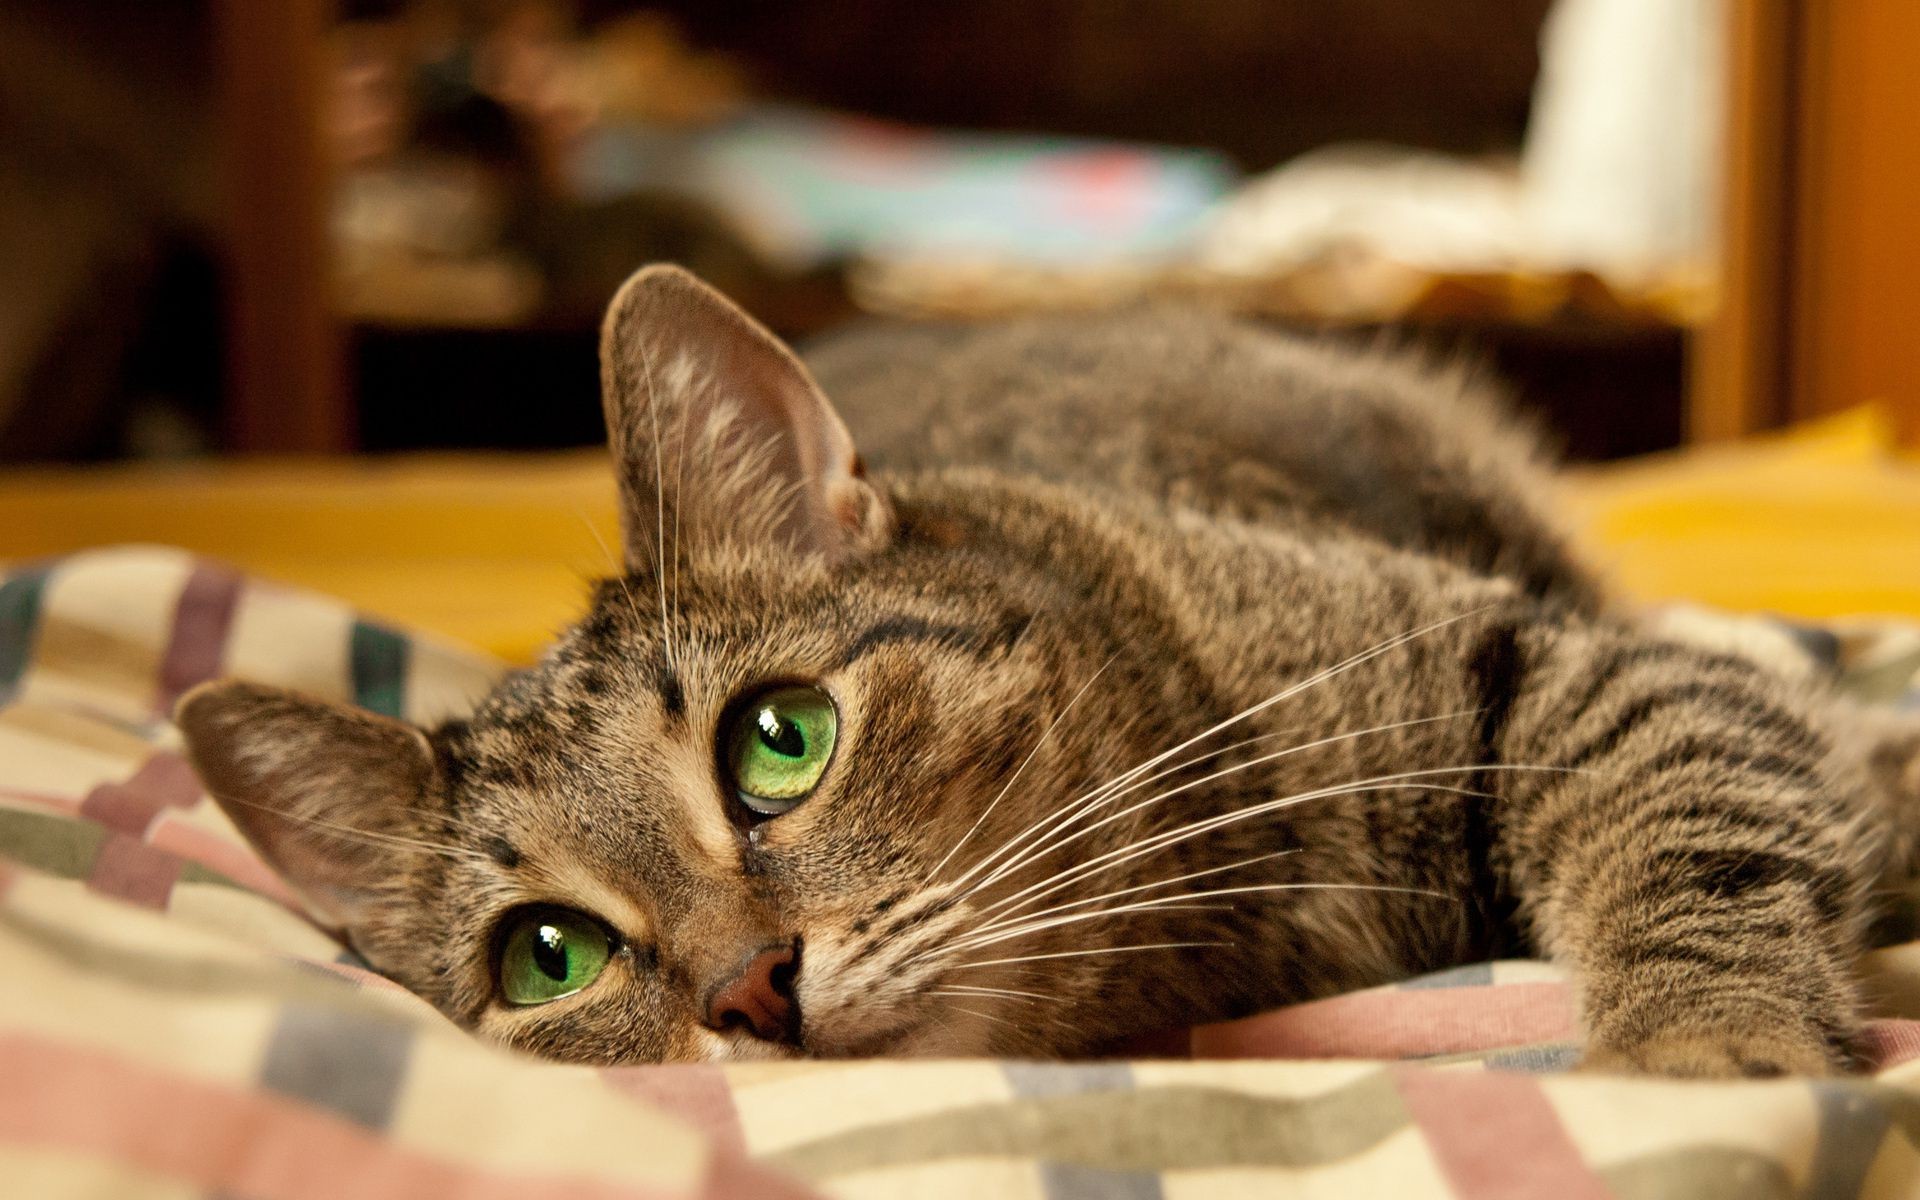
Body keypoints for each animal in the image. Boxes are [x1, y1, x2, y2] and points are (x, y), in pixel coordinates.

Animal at [176, 266, 1920, 1075]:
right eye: (550, 955)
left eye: (780, 741)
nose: (747, 989)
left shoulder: (1548, 668)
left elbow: (1694, 824)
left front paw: (1699, 1047)